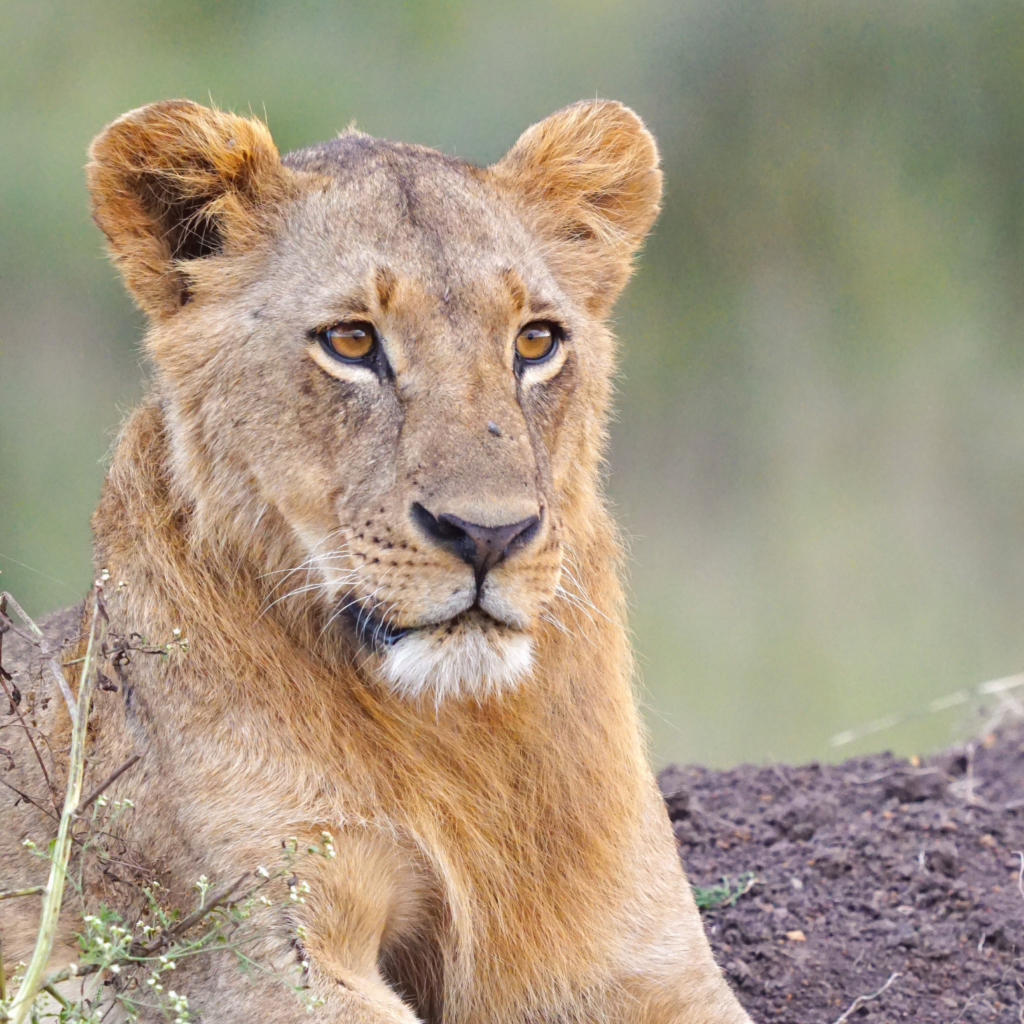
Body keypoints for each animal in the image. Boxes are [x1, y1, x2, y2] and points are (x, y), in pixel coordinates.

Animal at [0, 97, 753, 1024]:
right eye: (353, 342)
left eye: (537, 340)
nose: (488, 534)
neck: (457, 732)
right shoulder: (252, 957)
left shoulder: (638, 953)